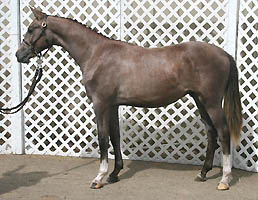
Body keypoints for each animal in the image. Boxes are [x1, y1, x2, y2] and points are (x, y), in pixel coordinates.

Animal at [15, 8, 242, 191]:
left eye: (31, 29)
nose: (19, 55)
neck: (96, 53)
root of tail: (224, 54)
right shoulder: (113, 105)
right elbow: (115, 137)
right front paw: (115, 174)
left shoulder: (101, 105)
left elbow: (103, 138)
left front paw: (99, 178)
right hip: (200, 100)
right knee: (211, 133)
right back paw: (203, 173)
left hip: (211, 102)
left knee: (223, 133)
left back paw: (224, 179)